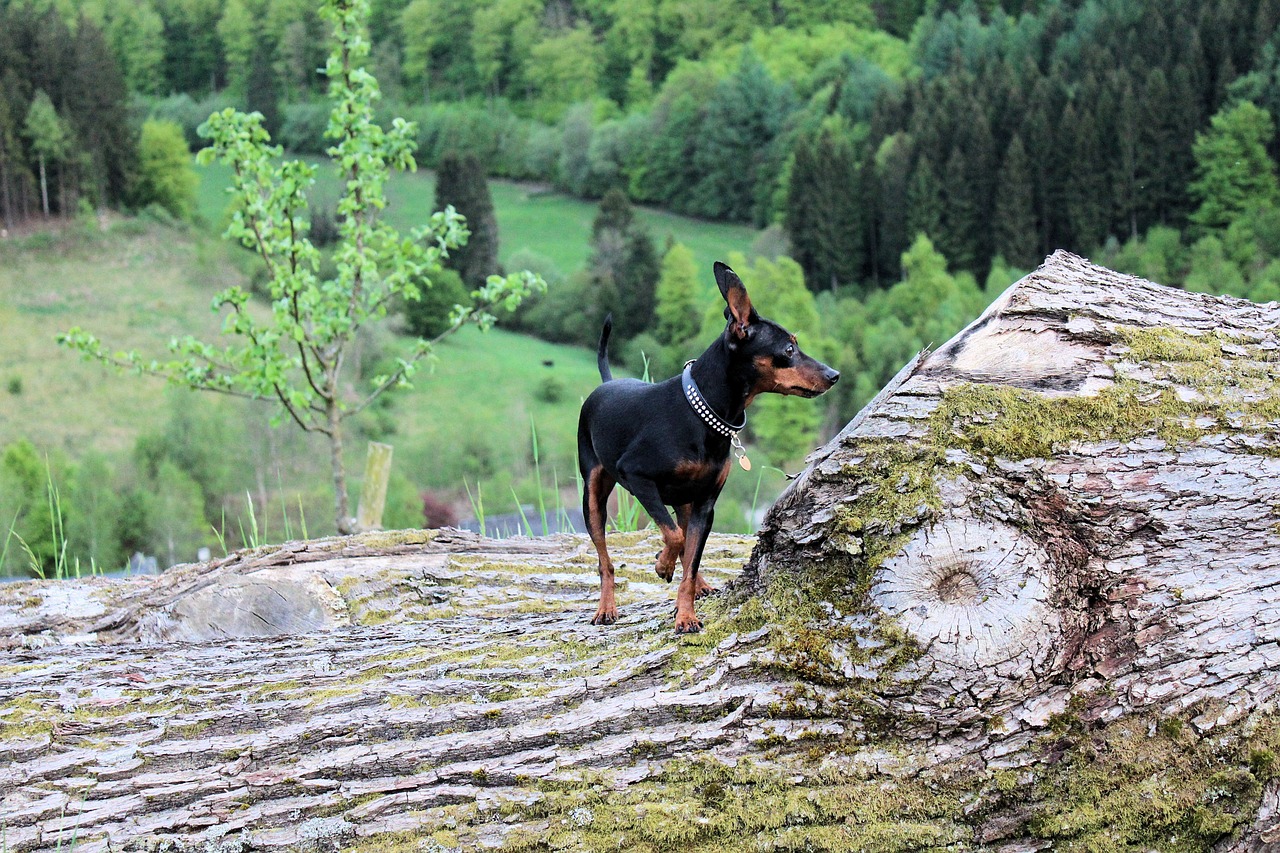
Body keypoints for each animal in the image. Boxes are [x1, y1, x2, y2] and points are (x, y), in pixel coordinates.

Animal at [578, 261, 839, 630]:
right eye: (789, 350)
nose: (834, 375)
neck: (700, 413)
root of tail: (607, 384)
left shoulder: (705, 504)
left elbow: (691, 557)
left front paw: (686, 614)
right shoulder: (637, 476)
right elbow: (674, 538)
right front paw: (662, 564)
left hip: (684, 499)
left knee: (685, 539)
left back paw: (698, 585)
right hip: (594, 493)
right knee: (606, 558)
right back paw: (606, 607)